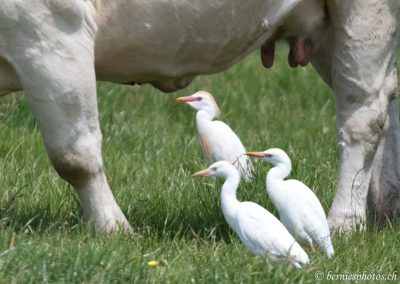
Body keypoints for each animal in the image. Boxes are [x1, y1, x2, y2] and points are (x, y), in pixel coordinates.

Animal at [0, 0, 398, 232]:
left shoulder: (49, 33)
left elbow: (74, 157)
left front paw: (112, 229)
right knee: (390, 97)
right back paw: (385, 209)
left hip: (366, 14)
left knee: (365, 117)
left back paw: (344, 223)